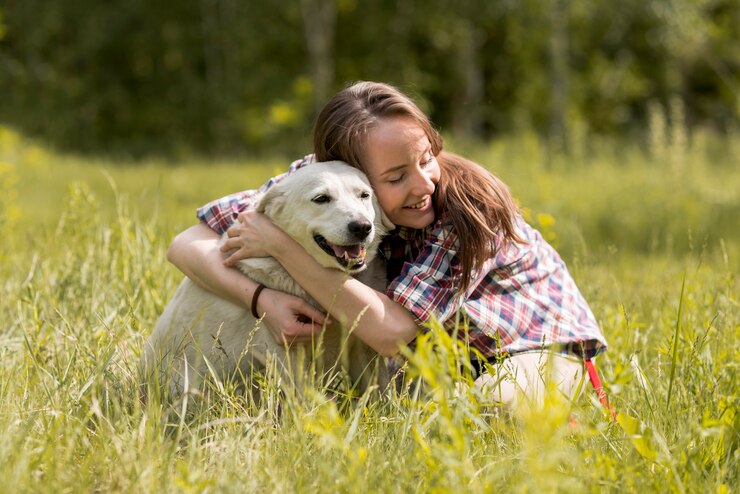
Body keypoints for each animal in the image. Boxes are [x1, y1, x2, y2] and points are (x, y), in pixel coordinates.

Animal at [139, 161, 394, 402]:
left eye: (364, 195)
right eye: (321, 198)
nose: (362, 227)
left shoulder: (363, 350)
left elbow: (379, 392)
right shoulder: (288, 354)